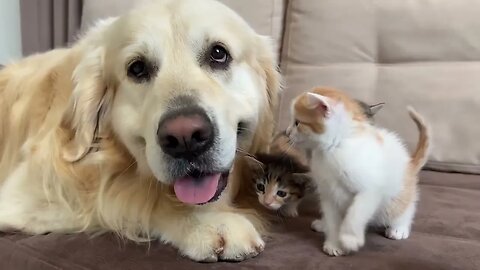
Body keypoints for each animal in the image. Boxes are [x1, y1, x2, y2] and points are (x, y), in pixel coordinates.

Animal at [0, 0, 280, 262]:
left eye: (219, 54)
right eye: (137, 68)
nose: (185, 138)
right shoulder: (30, 193)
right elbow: (137, 198)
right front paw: (210, 222)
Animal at [284, 87, 432, 256]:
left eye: (297, 123)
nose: (287, 132)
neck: (333, 149)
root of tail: (410, 163)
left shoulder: (371, 189)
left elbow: (356, 212)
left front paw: (350, 238)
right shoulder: (328, 193)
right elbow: (332, 219)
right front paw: (334, 243)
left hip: (396, 196)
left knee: (404, 208)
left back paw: (399, 228)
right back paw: (323, 225)